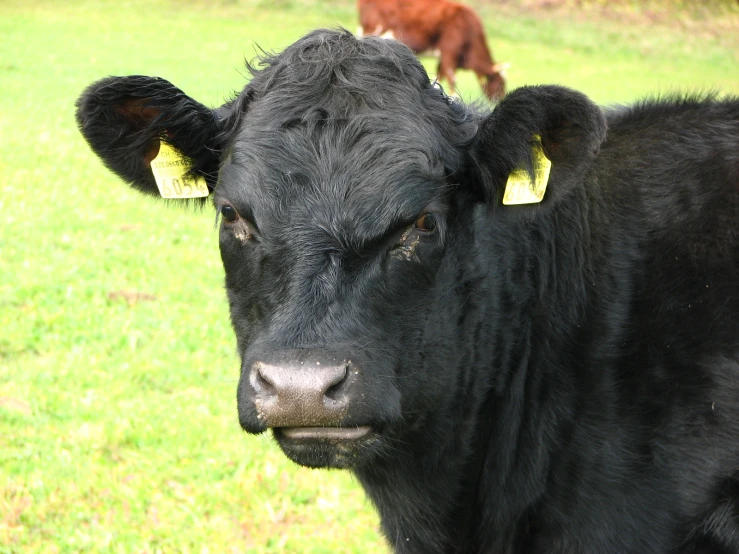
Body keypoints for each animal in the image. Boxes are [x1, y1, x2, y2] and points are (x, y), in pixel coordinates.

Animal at [360, 0, 508, 99]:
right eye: (500, 83)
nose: (499, 99)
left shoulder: (443, 57)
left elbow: (440, 75)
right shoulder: (449, 52)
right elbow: (452, 78)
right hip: (374, 29)